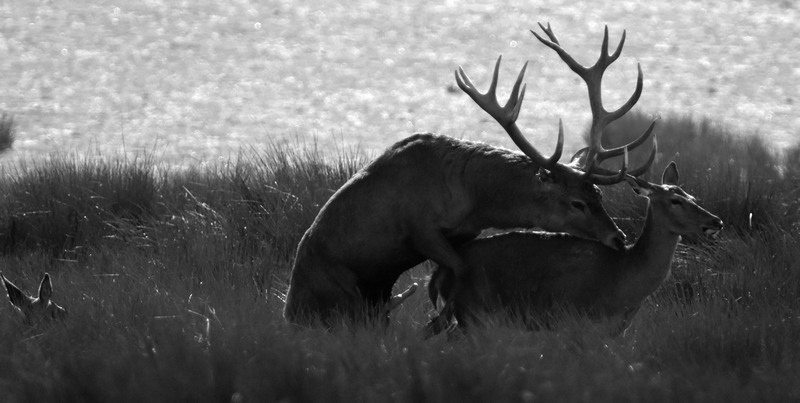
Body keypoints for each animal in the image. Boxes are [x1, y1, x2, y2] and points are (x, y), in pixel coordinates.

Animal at [283, 24, 657, 328]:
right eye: (576, 202)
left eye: (599, 194)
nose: (618, 237)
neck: (473, 199)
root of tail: (287, 308)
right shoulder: (419, 227)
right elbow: (460, 270)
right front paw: (443, 317)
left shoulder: (466, 232)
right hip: (334, 290)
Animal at [426, 161, 724, 335]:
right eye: (675, 201)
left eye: (692, 196)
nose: (716, 221)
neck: (623, 281)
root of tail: (439, 272)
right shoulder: (574, 319)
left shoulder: (617, 331)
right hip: (473, 310)